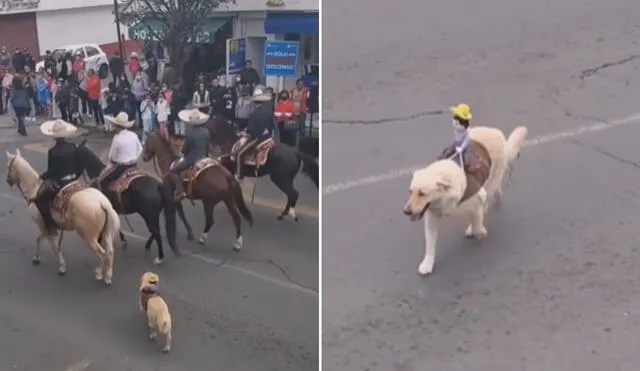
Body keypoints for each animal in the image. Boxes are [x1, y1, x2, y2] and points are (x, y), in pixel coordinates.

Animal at [5, 150, 120, 286]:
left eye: (8, 166)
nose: (7, 180)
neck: (35, 190)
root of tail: (102, 203)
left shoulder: (43, 224)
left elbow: (53, 246)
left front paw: (61, 267)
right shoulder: (45, 226)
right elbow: (39, 240)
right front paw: (37, 258)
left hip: (89, 237)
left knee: (102, 254)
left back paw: (98, 273)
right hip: (106, 233)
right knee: (110, 252)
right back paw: (108, 276)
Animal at [402, 127, 528, 276]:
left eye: (422, 193)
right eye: (410, 192)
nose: (406, 211)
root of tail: (495, 131)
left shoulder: (477, 200)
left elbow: (478, 225)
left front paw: (477, 230)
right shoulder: (432, 216)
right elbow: (430, 243)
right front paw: (427, 264)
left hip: (491, 180)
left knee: (488, 196)